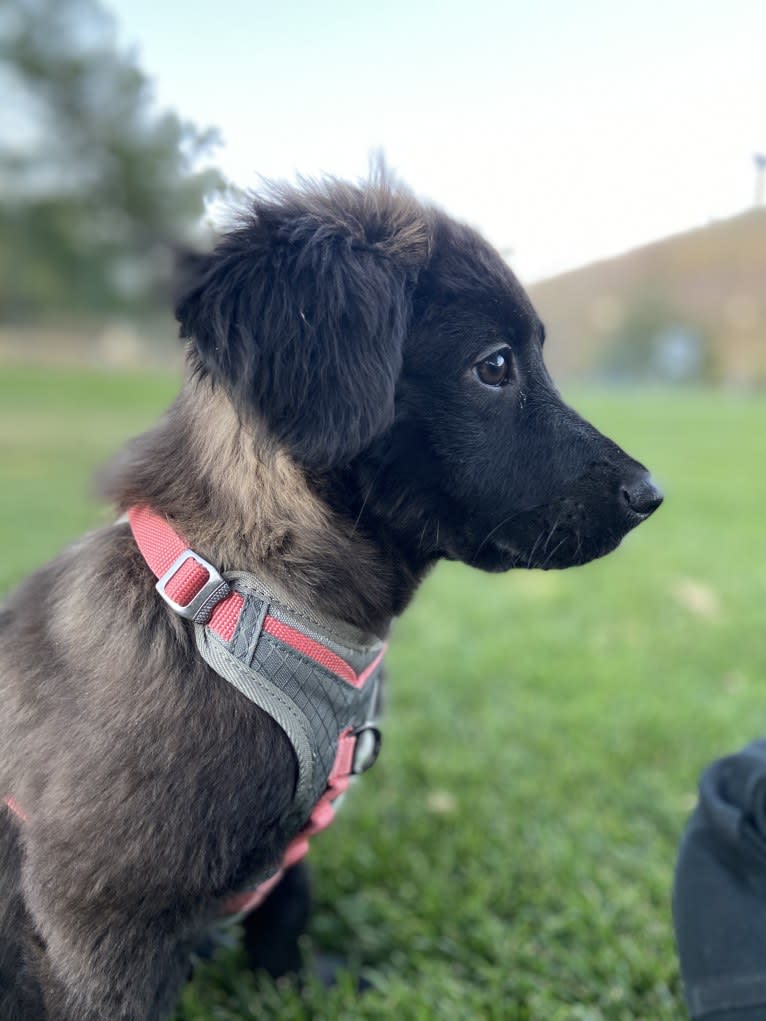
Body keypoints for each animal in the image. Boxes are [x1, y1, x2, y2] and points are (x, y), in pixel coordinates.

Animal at [0, 171, 661, 1016]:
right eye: (494, 365)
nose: (651, 493)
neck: (242, 587)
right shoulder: (98, 911)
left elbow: (289, 900)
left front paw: (292, 985)